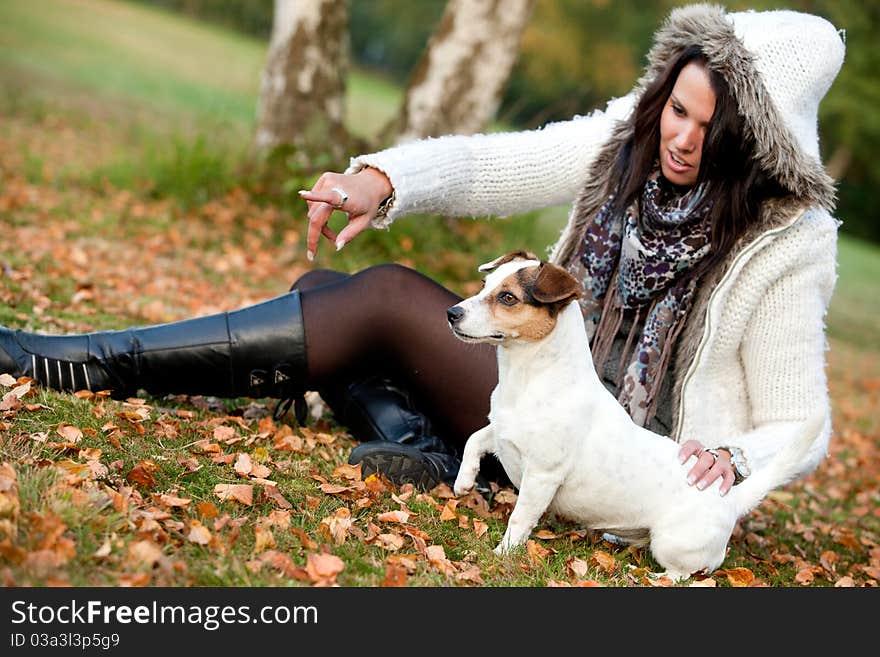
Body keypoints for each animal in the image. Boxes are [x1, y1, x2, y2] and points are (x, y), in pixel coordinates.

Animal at [450, 249, 820, 576]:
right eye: (484, 286)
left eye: (508, 298)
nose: (452, 313)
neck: (529, 379)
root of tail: (731, 498)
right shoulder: (500, 432)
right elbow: (474, 439)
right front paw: (463, 482)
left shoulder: (542, 475)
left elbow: (520, 517)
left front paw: (503, 553)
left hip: (672, 543)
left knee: (685, 576)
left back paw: (647, 575)